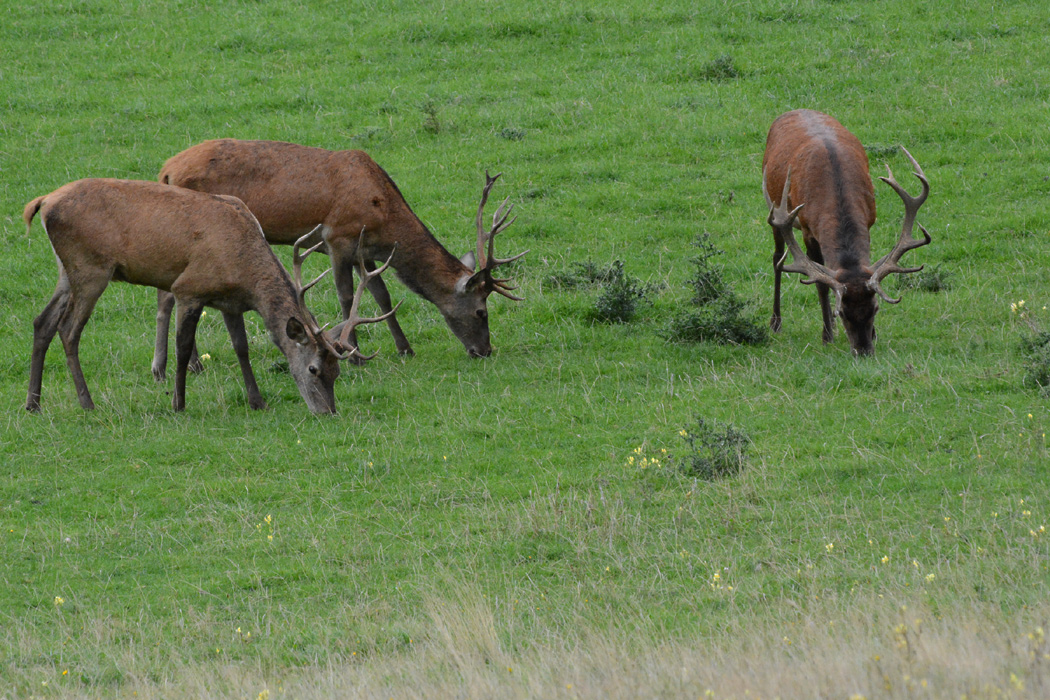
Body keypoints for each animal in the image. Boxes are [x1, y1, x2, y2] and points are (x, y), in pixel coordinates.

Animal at [24, 178, 398, 413]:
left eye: (338, 373)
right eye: (314, 369)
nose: (328, 411)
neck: (243, 268)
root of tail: (42, 203)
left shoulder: (230, 304)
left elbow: (241, 347)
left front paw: (257, 401)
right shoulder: (189, 289)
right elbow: (183, 348)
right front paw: (178, 403)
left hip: (67, 272)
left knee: (42, 321)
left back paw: (33, 403)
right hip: (91, 269)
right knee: (68, 330)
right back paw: (87, 403)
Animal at [152, 137, 529, 377]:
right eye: (481, 312)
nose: (485, 351)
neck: (383, 212)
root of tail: (166, 169)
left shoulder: (366, 250)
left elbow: (381, 294)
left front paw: (405, 348)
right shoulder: (338, 238)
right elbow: (347, 296)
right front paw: (356, 356)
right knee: (171, 294)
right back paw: (187, 365)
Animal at [760, 108, 932, 356]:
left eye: (875, 308)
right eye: (842, 312)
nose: (863, 350)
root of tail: (794, 110)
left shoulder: (869, 219)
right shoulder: (807, 229)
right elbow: (821, 284)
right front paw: (827, 336)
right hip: (776, 211)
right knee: (777, 259)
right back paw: (776, 322)